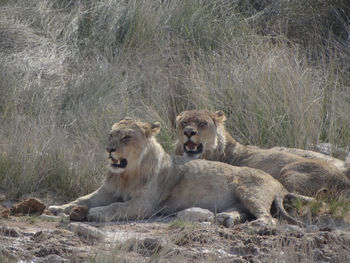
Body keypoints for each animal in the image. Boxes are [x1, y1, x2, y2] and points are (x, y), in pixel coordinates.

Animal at [48, 118, 308, 226]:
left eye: (126, 137)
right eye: (111, 135)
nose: (109, 149)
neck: (127, 173)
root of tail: (279, 184)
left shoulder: (146, 205)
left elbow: (116, 207)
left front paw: (96, 213)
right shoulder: (105, 192)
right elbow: (81, 199)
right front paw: (59, 208)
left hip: (248, 190)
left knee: (268, 218)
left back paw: (258, 225)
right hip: (240, 198)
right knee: (243, 212)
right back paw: (226, 218)